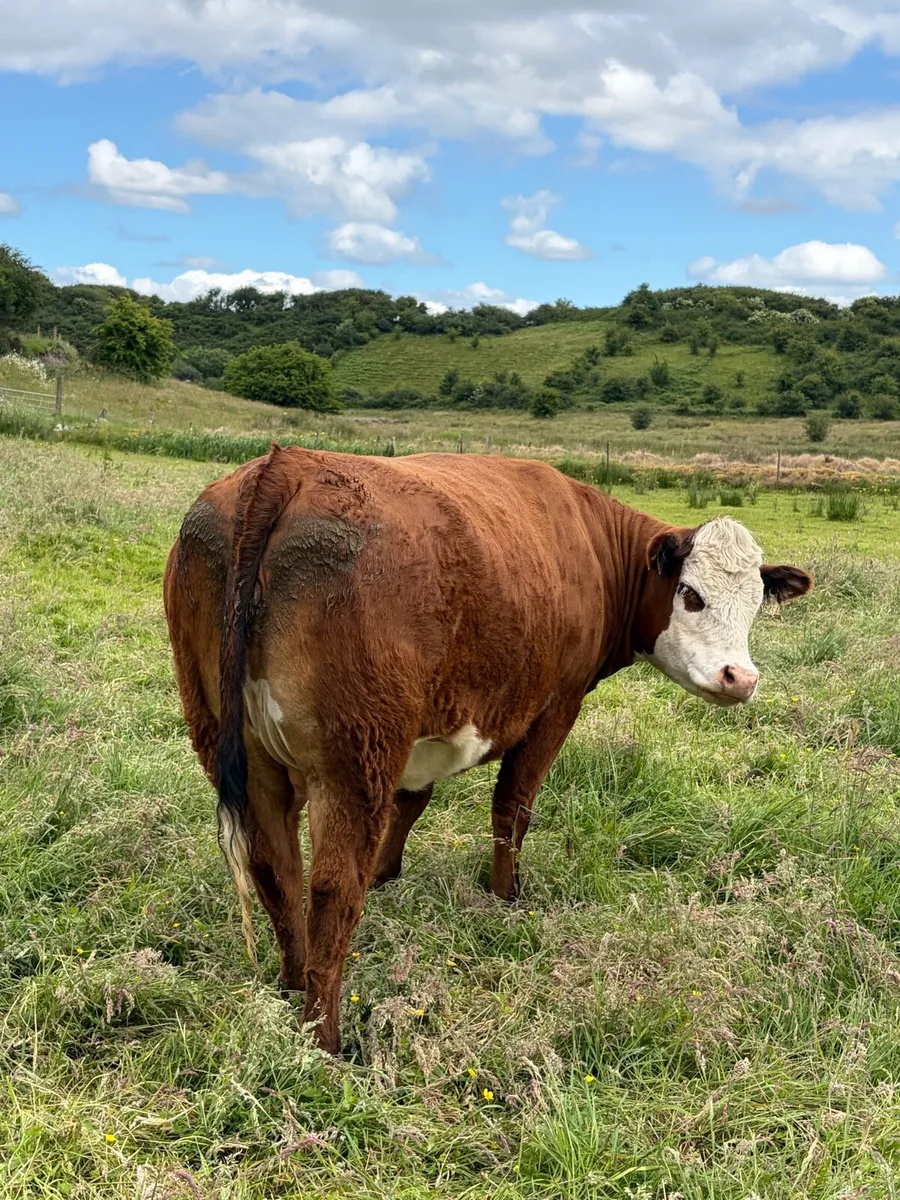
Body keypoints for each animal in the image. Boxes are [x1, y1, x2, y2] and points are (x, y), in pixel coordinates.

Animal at [163, 444, 812, 1053]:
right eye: (691, 595)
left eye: (756, 603)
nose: (741, 678)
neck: (591, 542)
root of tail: (285, 466)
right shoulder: (555, 707)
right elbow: (512, 807)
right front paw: (505, 896)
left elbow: (412, 803)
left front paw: (388, 874)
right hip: (354, 758)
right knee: (331, 889)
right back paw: (325, 1038)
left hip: (241, 751)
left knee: (276, 868)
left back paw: (292, 985)